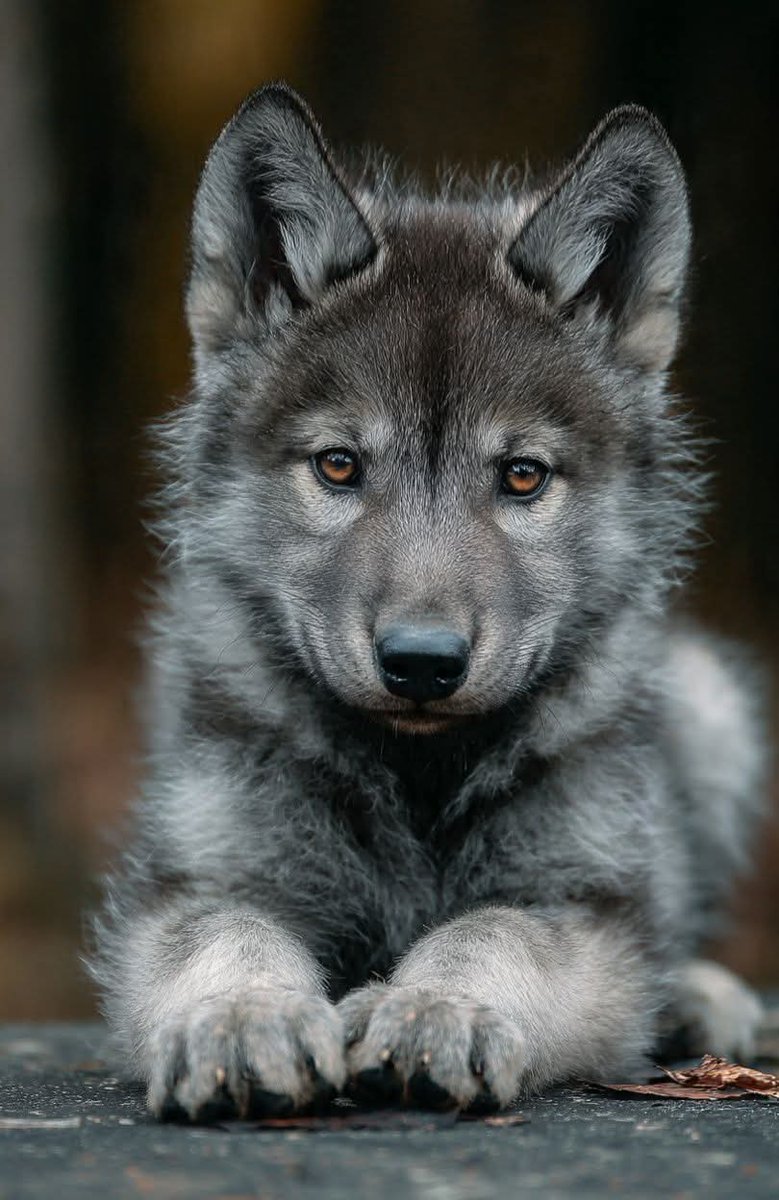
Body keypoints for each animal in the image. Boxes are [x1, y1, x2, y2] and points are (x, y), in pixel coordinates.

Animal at [92, 83, 766, 1119]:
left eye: (522, 476)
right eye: (338, 465)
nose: (420, 662)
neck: (415, 778)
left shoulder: (583, 904)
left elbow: (495, 932)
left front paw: (434, 1007)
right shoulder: (197, 880)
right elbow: (225, 937)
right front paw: (241, 1019)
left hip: (708, 701)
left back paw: (700, 999)